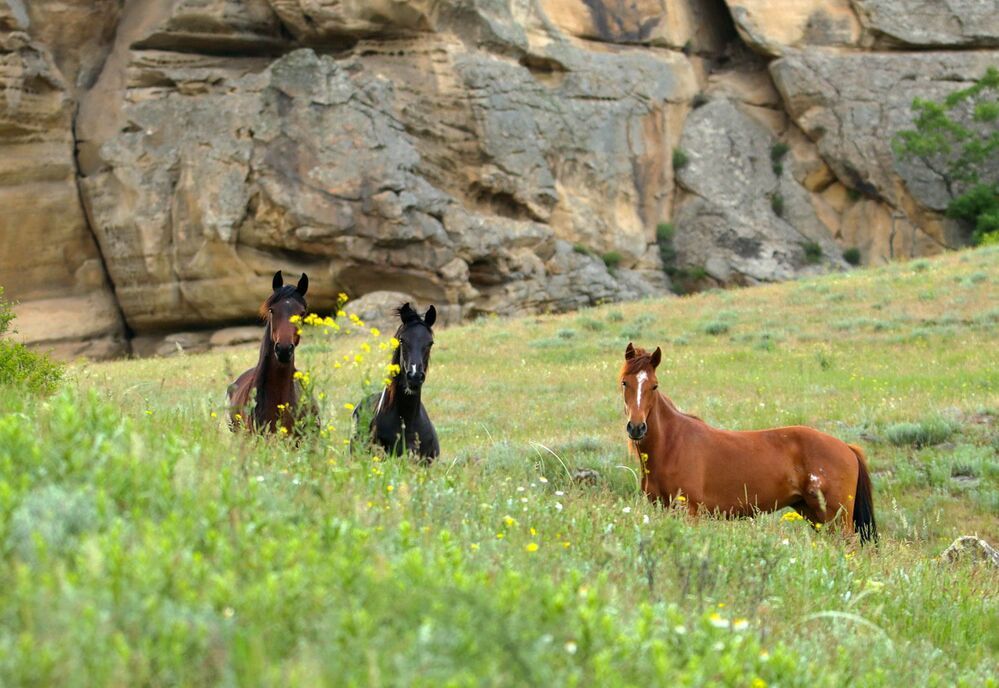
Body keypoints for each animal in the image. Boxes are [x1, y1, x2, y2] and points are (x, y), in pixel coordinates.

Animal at [620, 343, 877, 543]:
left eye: (654, 385)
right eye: (624, 383)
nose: (637, 427)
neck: (672, 444)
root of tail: (847, 448)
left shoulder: (688, 511)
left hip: (836, 518)